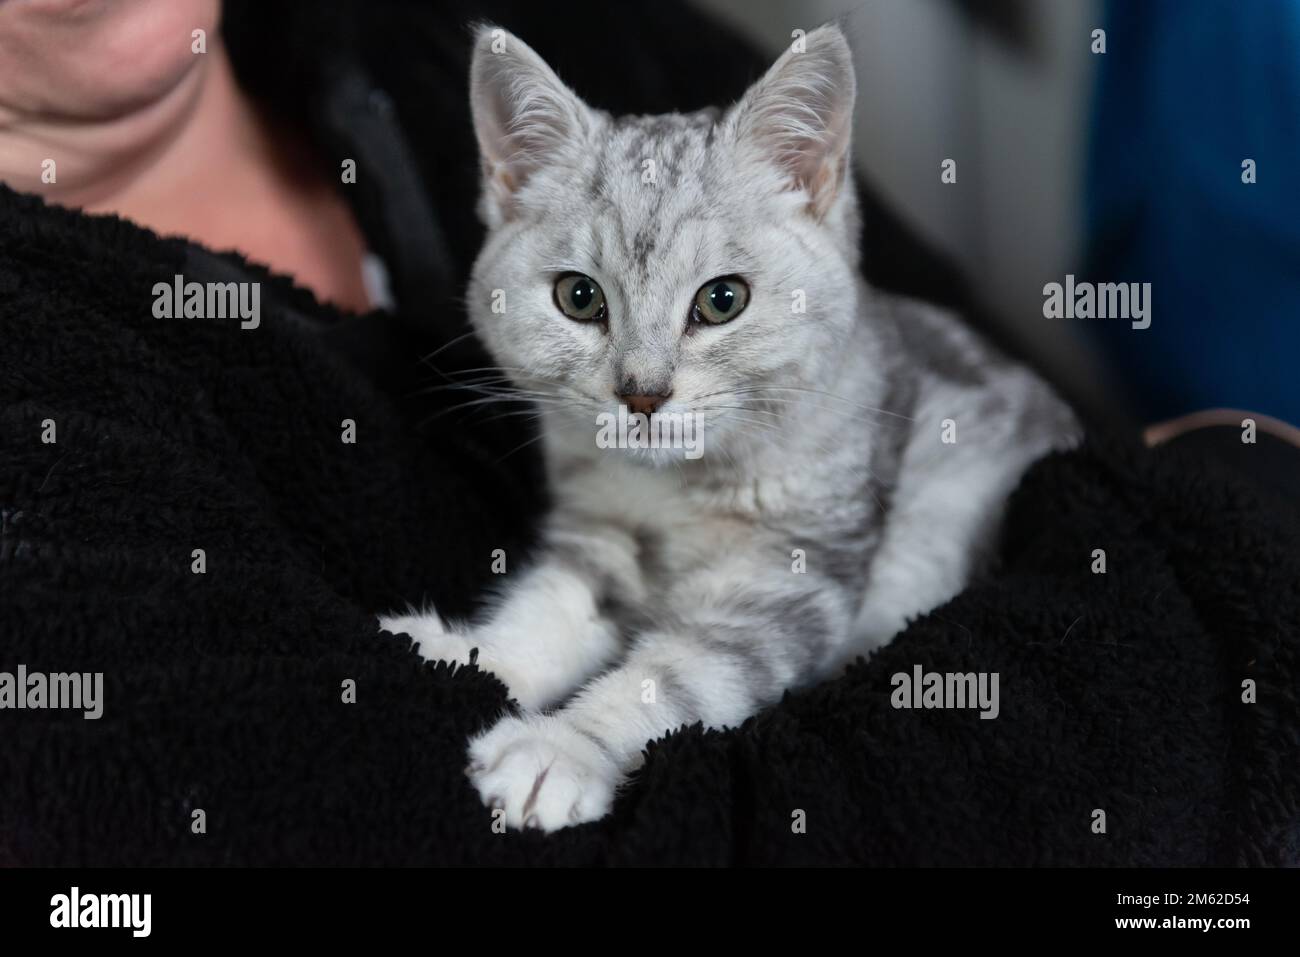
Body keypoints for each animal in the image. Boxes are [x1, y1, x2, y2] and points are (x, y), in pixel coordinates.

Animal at [379, 20, 1076, 832]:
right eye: (579, 297)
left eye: (722, 300)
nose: (642, 393)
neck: (678, 489)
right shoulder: (601, 536)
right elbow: (543, 612)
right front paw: (463, 653)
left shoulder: (786, 583)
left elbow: (674, 677)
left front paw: (560, 748)